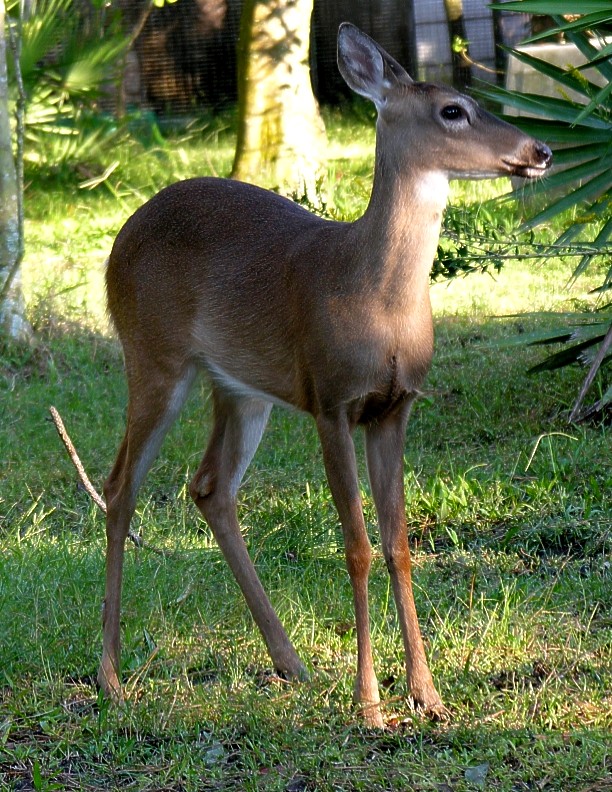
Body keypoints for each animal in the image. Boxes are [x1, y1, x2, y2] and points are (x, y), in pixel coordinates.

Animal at [98, 22, 552, 726]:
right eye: (453, 110)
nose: (542, 149)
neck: (380, 302)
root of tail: (121, 238)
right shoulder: (331, 400)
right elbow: (357, 546)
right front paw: (369, 703)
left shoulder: (395, 408)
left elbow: (399, 545)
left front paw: (427, 695)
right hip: (151, 354)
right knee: (120, 487)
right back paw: (111, 678)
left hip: (240, 388)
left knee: (209, 486)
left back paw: (291, 662)